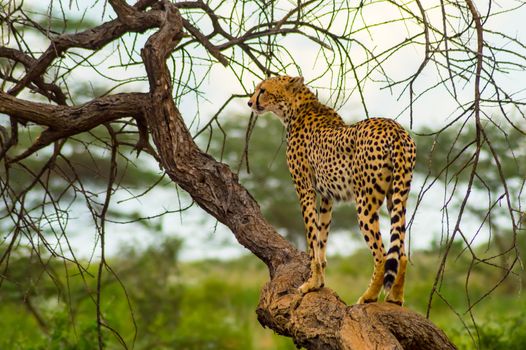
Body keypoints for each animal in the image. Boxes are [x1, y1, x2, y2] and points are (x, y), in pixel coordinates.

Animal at [250, 75, 418, 304]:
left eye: (263, 90)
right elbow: (321, 238)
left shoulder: (305, 190)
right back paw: (395, 298)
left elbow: (312, 239)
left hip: (365, 202)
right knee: (401, 252)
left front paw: (311, 283)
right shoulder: (327, 196)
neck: (296, 109)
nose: (250, 102)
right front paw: (319, 282)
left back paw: (369, 296)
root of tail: (394, 127)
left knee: (382, 254)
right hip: (397, 196)